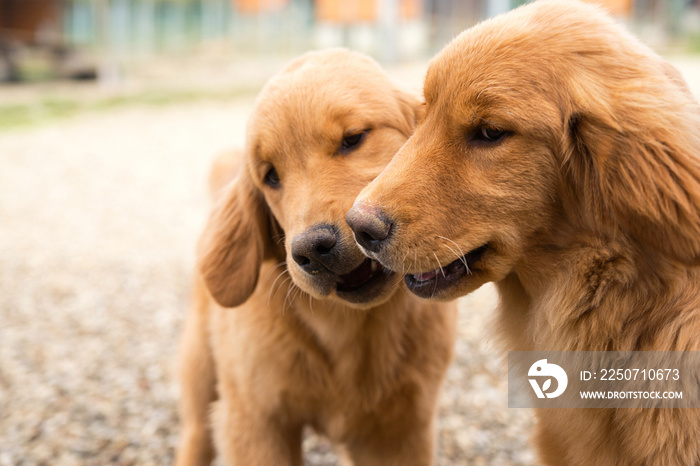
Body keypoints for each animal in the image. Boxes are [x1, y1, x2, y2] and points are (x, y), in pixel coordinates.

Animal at [178, 48, 456, 466]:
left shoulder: (400, 432)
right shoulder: (257, 423)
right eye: (271, 176)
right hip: (204, 377)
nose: (312, 249)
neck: (346, 327)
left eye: (353, 139)